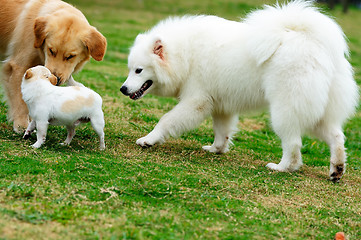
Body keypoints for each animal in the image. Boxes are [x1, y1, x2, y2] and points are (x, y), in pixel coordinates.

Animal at [120, 0, 358, 180]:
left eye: (139, 70)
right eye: (130, 69)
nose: (123, 88)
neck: (185, 54)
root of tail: (314, 44)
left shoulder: (196, 101)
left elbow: (166, 120)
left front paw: (148, 139)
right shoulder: (219, 105)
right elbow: (222, 132)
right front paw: (216, 149)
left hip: (285, 110)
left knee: (293, 144)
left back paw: (282, 167)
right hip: (319, 113)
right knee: (337, 137)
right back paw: (336, 170)